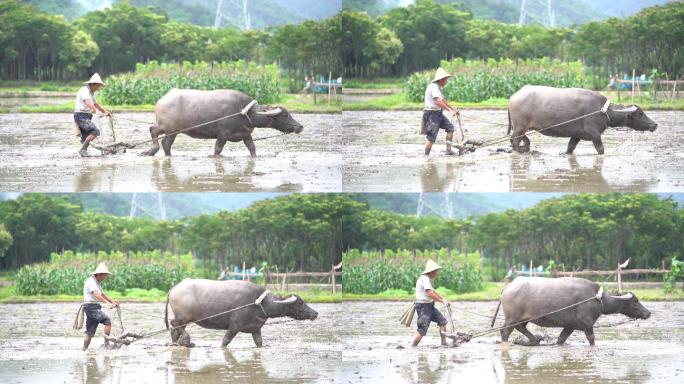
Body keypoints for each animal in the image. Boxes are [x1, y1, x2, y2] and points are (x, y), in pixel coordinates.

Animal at [140, 88, 304, 156]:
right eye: (285, 115)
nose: (300, 127)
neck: (245, 113)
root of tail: (162, 100)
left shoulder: (246, 135)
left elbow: (252, 149)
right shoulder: (222, 135)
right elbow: (217, 150)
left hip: (173, 131)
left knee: (166, 143)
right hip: (168, 127)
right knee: (153, 130)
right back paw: (150, 151)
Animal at [164, 280, 316, 348]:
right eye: (300, 302)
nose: (315, 313)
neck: (260, 304)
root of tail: (173, 289)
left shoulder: (256, 329)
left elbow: (259, 343)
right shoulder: (234, 326)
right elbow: (225, 341)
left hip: (185, 319)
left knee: (175, 329)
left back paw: (177, 343)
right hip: (183, 317)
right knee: (174, 324)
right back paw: (186, 341)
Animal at [494, 278, 648, 346]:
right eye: (635, 301)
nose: (648, 313)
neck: (598, 299)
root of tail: (507, 288)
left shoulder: (570, 326)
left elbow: (561, 339)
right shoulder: (587, 323)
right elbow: (591, 339)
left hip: (523, 319)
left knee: (521, 328)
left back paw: (534, 340)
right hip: (511, 318)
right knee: (504, 331)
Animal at [508, 85, 656, 154]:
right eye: (641, 113)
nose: (654, 124)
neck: (603, 110)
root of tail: (513, 97)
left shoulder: (576, 135)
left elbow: (570, 148)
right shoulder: (595, 134)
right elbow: (601, 149)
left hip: (521, 128)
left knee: (517, 139)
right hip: (520, 127)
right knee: (515, 141)